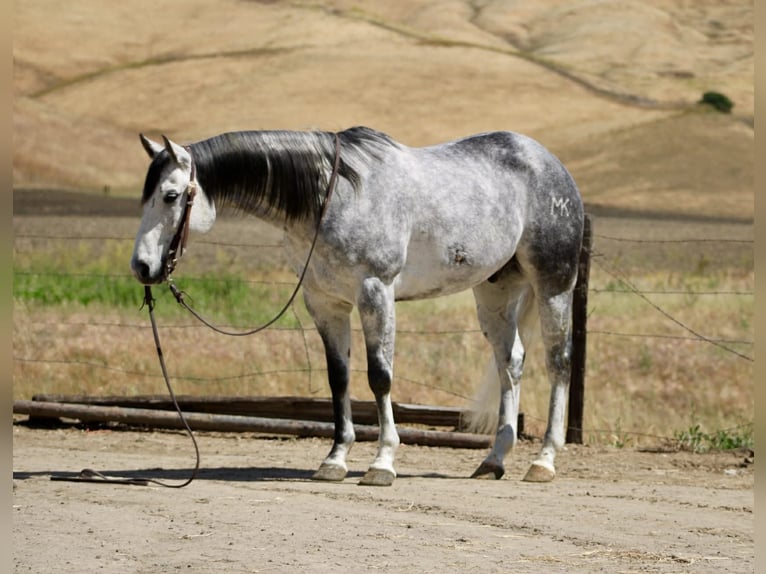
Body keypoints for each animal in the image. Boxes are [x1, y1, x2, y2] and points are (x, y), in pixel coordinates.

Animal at [130, 126, 584, 486]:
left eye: (170, 195)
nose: (142, 266)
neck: (334, 196)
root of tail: (550, 163)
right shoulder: (325, 303)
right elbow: (340, 379)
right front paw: (335, 460)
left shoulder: (375, 293)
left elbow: (379, 378)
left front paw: (382, 463)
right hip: (496, 291)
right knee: (511, 363)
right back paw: (493, 460)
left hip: (553, 285)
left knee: (558, 362)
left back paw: (544, 461)